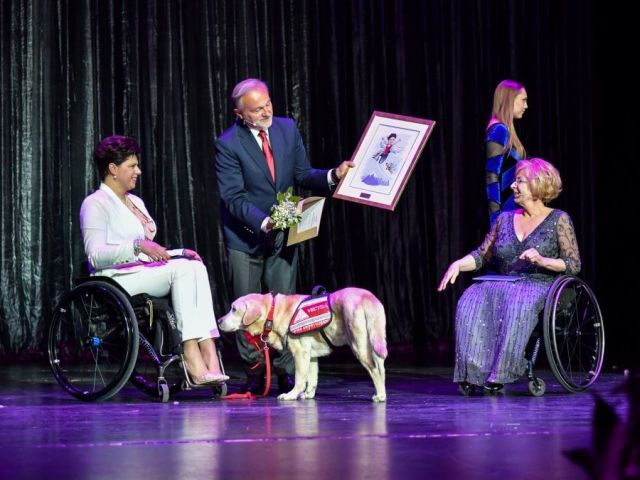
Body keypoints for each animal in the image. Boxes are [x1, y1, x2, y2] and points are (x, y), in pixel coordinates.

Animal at [218, 286, 388, 404]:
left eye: (234, 309)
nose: (219, 320)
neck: (272, 313)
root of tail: (367, 296)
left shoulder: (300, 353)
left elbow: (300, 379)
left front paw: (291, 394)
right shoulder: (311, 356)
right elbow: (312, 379)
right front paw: (308, 394)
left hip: (359, 345)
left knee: (374, 370)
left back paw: (380, 395)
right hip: (376, 342)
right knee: (381, 368)